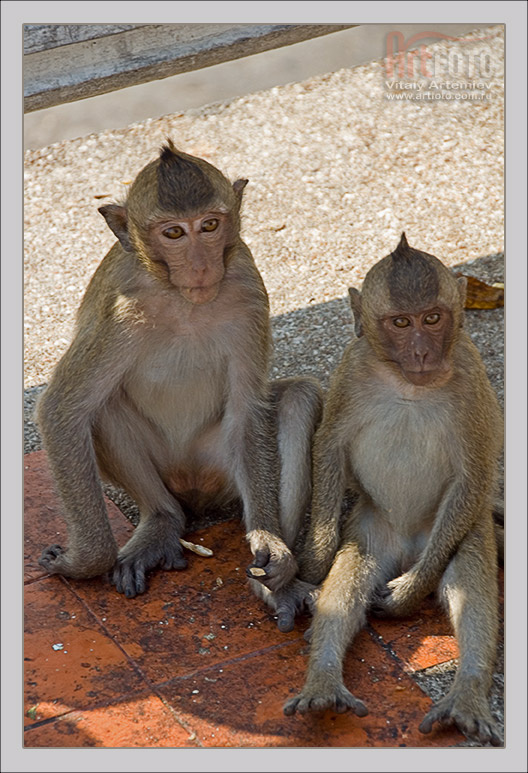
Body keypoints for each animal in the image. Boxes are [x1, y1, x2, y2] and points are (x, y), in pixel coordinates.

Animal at [37, 140, 322, 622]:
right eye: (173, 234)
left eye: (209, 225)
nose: (200, 266)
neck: (181, 298)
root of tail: (194, 489)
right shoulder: (119, 311)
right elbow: (63, 409)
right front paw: (84, 563)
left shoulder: (248, 292)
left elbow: (249, 410)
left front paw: (272, 547)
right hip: (168, 470)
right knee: (103, 406)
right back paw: (162, 522)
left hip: (218, 467)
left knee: (297, 400)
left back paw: (274, 588)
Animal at [283, 233, 503, 746]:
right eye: (401, 322)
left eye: (433, 318)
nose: (422, 353)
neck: (408, 384)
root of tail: (406, 548)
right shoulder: (352, 368)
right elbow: (329, 446)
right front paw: (313, 566)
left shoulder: (470, 374)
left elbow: (474, 472)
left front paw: (410, 595)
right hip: (371, 530)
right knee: (349, 579)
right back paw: (323, 683)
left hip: (456, 532)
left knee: (470, 580)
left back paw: (466, 693)